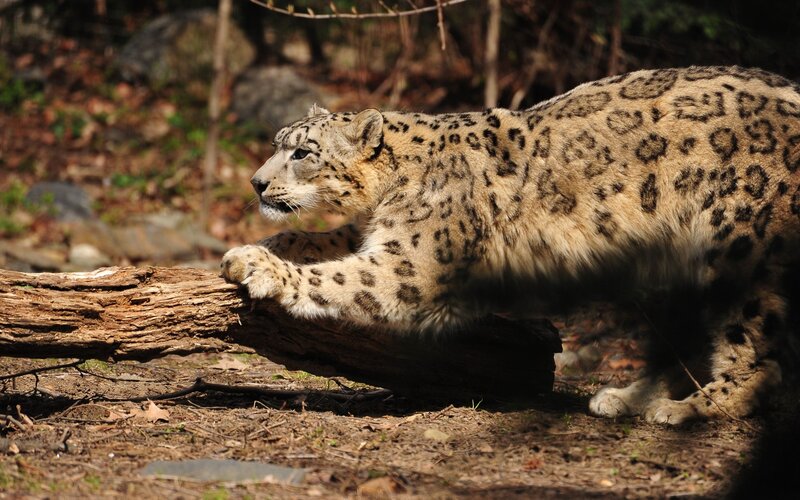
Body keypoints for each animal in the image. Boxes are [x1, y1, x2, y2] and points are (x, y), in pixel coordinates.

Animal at [222, 66, 800, 425]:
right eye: (277, 144)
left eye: (302, 152)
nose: (255, 182)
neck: (390, 189)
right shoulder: (376, 233)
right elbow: (323, 239)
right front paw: (265, 243)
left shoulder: (414, 263)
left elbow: (342, 276)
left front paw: (258, 266)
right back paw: (626, 398)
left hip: (737, 241)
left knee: (759, 356)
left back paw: (690, 409)